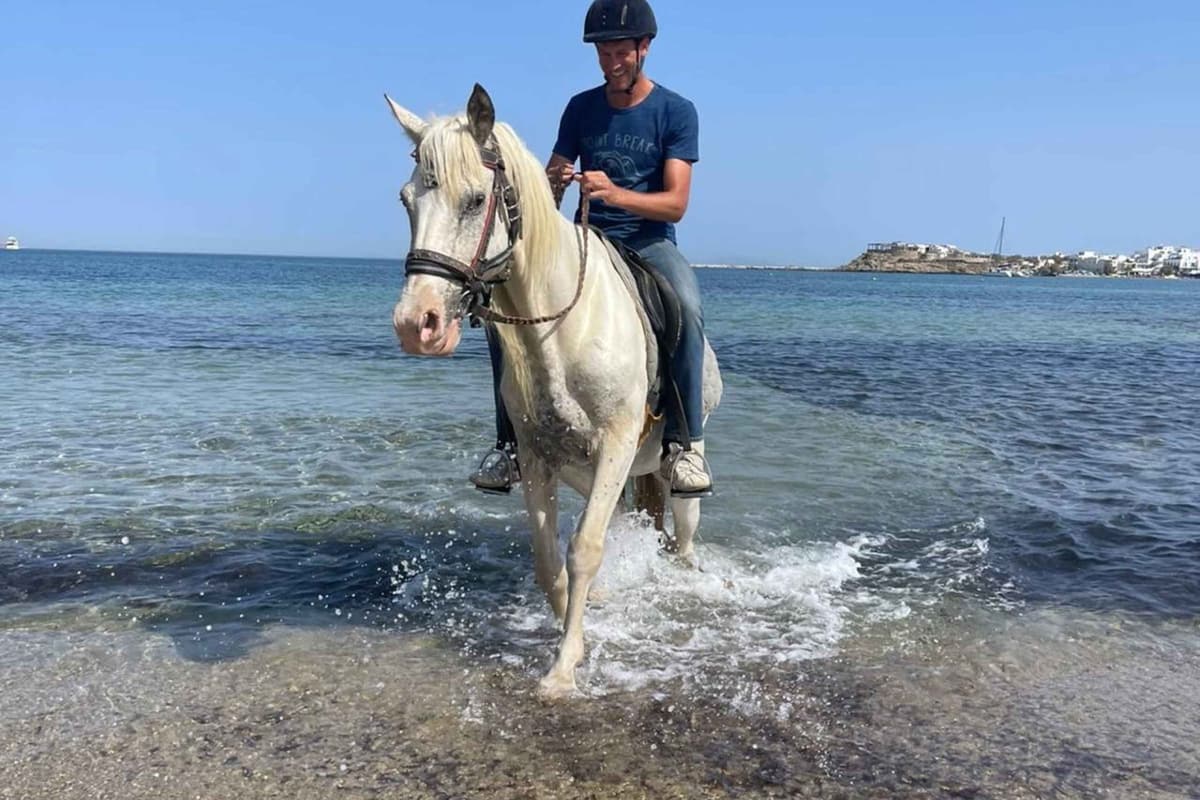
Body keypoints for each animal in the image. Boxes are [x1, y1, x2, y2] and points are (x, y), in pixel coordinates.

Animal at [385, 84, 721, 699]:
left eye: (475, 200)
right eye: (406, 201)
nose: (416, 325)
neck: (564, 327)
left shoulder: (615, 445)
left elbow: (583, 549)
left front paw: (563, 668)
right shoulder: (538, 455)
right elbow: (548, 558)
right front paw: (576, 630)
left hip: (676, 465)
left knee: (683, 538)